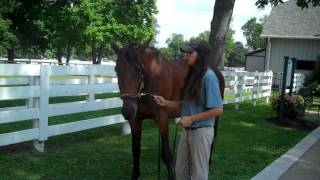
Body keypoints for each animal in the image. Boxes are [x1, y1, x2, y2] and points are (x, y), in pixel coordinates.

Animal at [112, 39, 225, 180]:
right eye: (117, 70)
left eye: (138, 69)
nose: (127, 111)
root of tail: (216, 70)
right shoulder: (135, 121)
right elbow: (136, 149)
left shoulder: (162, 118)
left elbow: (166, 154)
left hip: (213, 116)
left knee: (211, 140)